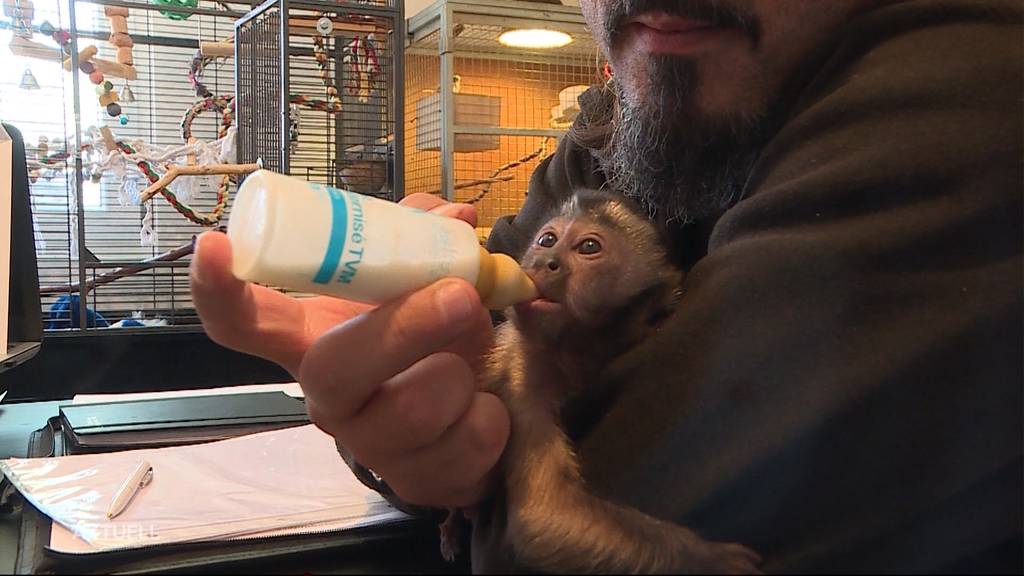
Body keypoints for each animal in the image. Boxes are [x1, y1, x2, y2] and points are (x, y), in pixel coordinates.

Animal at [440, 188, 761, 569]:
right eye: (547, 240)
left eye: (588, 247)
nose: (545, 261)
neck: (575, 351)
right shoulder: (522, 372)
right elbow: (543, 515)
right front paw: (707, 560)